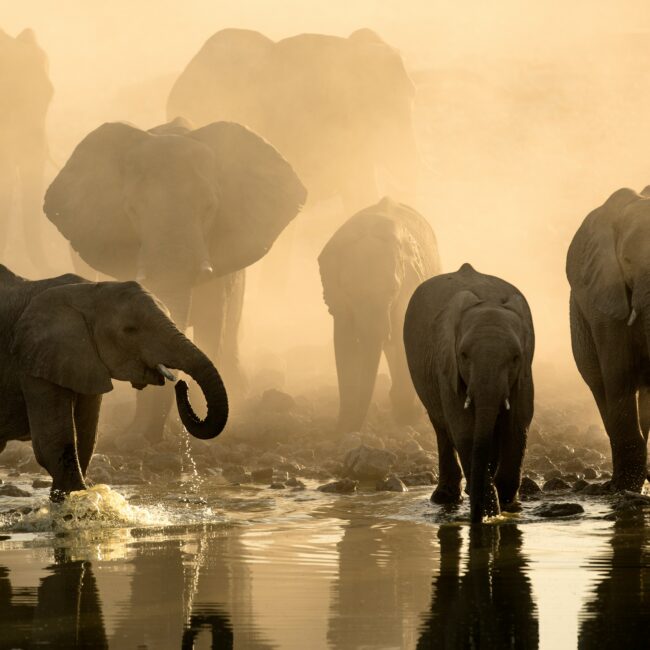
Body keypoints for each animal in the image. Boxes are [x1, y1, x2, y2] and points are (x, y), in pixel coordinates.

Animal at [0, 265, 228, 501]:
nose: (182, 385)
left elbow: (86, 438)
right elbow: (53, 443)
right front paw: (78, 503)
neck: (86, 290)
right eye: (130, 330)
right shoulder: (34, 361)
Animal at [319, 197, 440, 432]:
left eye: (392, 290)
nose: (355, 427)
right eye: (349, 291)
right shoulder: (339, 300)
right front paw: (343, 426)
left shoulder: (407, 289)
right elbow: (344, 342)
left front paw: (406, 418)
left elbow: (403, 337)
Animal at [403, 263, 535, 523]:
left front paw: (506, 506)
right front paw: (489, 512)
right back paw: (445, 498)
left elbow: (518, 423)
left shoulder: (525, 371)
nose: (475, 519)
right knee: (441, 425)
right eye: (463, 355)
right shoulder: (447, 367)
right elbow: (464, 427)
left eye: (515, 357)